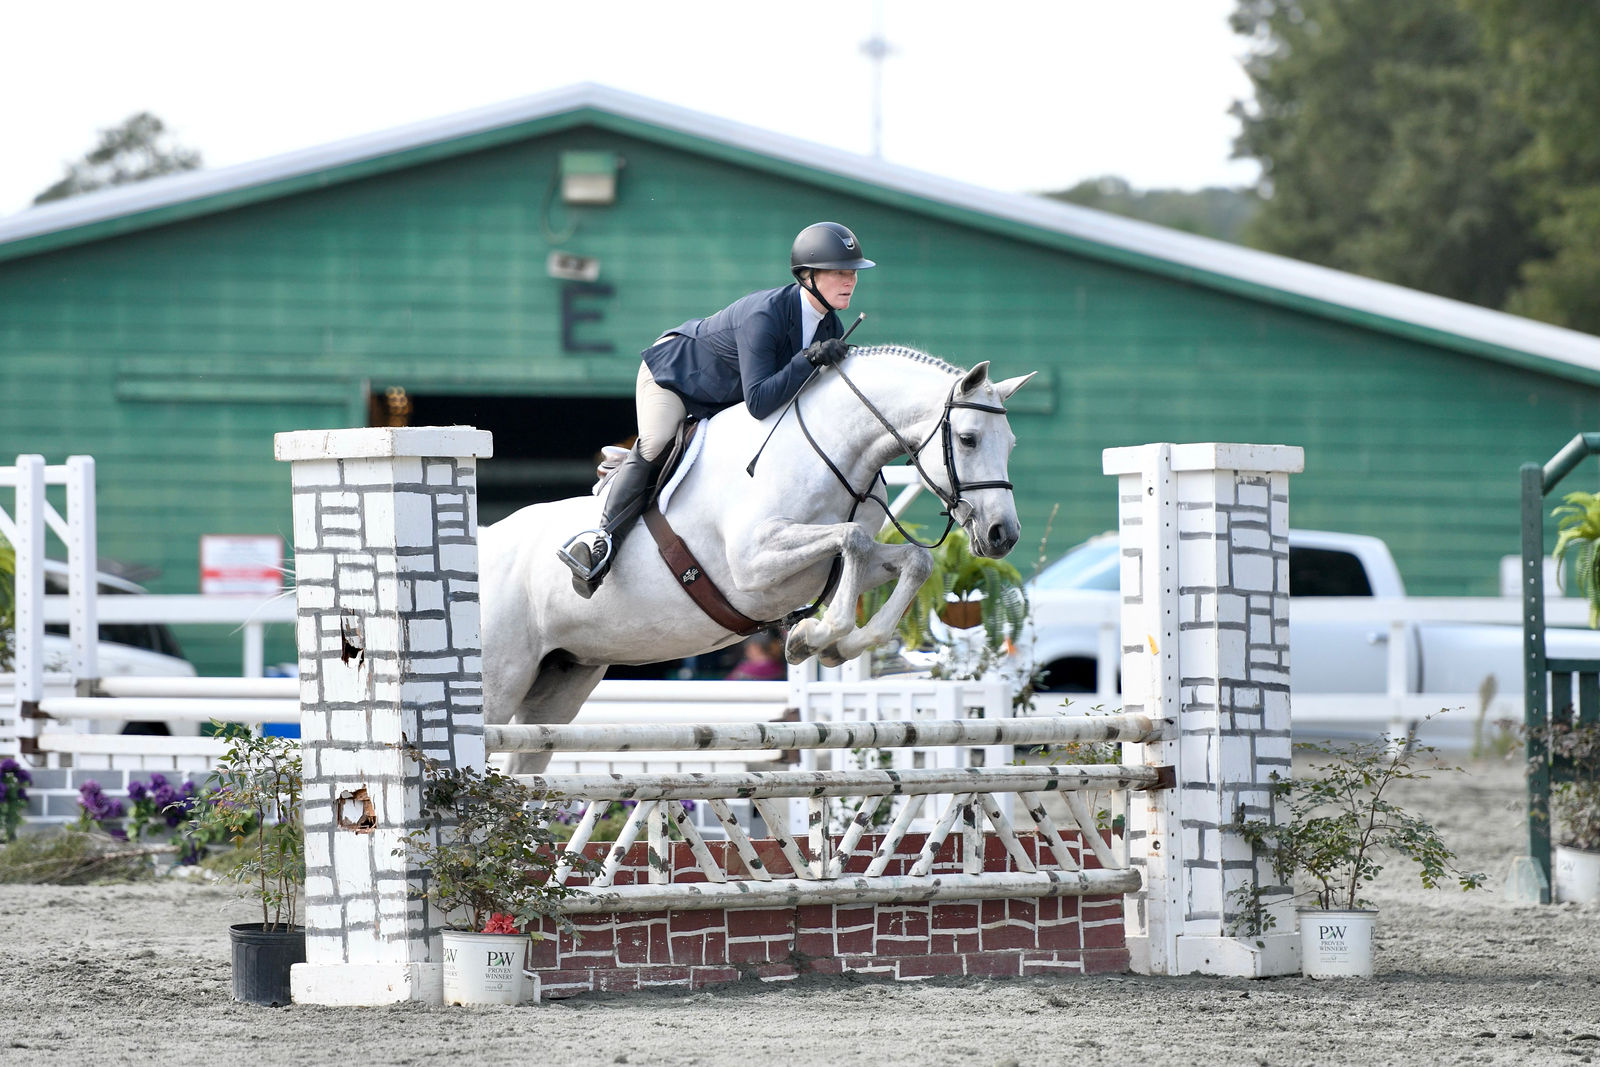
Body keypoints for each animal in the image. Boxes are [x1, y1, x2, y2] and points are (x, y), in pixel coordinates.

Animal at [478, 344, 1036, 772]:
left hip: (561, 685)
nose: (1002, 535)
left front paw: (831, 644)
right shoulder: (753, 564)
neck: (828, 450)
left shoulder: (821, 565)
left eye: (1012, 442)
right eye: (967, 439)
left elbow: (911, 561)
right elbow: (853, 537)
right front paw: (815, 636)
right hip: (499, 681)